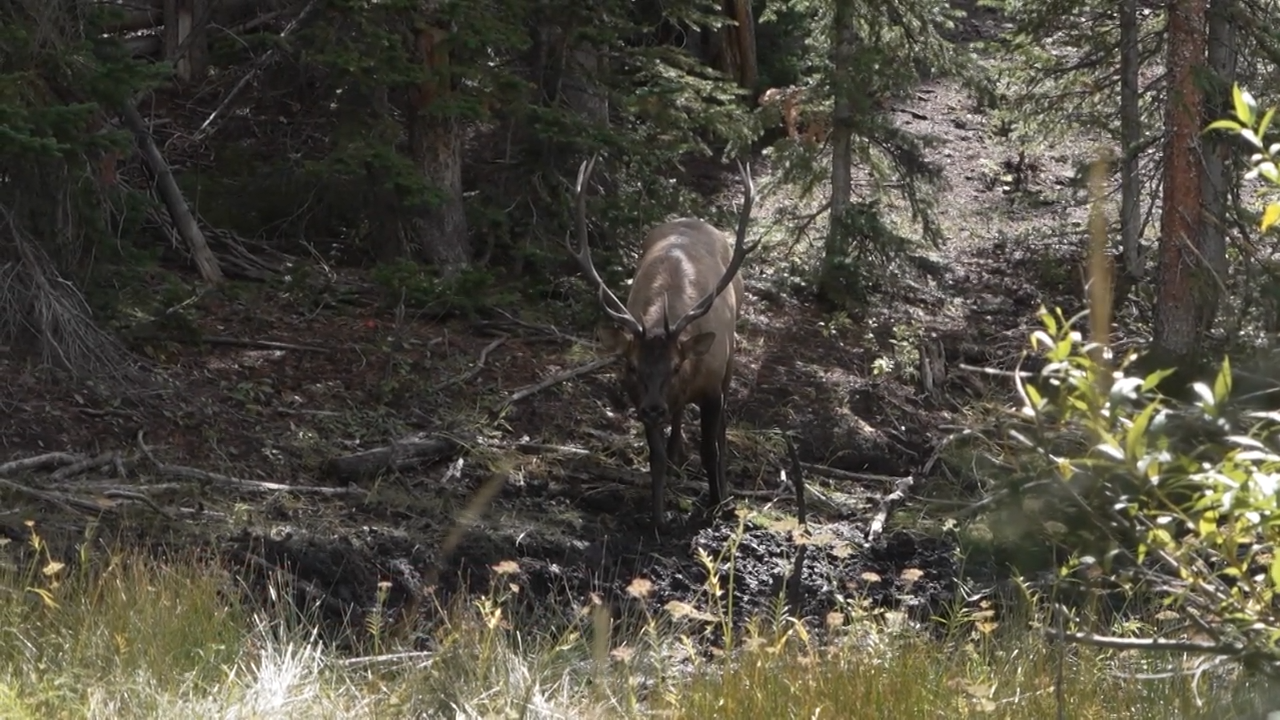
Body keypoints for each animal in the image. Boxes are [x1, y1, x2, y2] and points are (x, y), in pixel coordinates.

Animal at [568, 153, 756, 531]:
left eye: (676, 365)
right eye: (631, 365)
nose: (654, 407)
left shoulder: (713, 387)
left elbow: (710, 448)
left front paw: (716, 502)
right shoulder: (639, 399)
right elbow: (654, 458)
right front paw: (657, 516)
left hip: (730, 360)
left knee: (722, 427)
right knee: (679, 416)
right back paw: (676, 450)